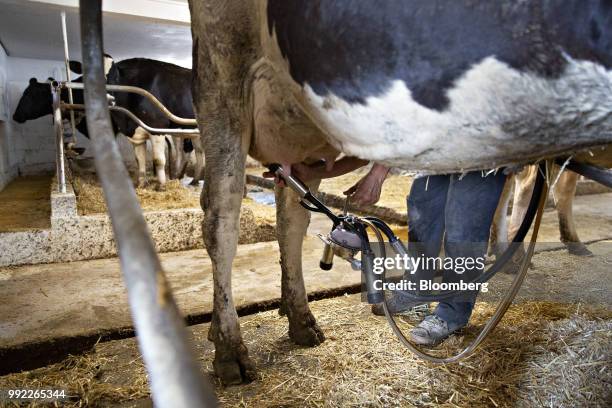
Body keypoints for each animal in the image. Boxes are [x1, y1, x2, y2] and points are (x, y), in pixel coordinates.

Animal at [186, 0, 612, 384]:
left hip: (300, 121)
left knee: (291, 218)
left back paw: (301, 320)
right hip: (225, 69)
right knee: (222, 222)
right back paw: (229, 350)